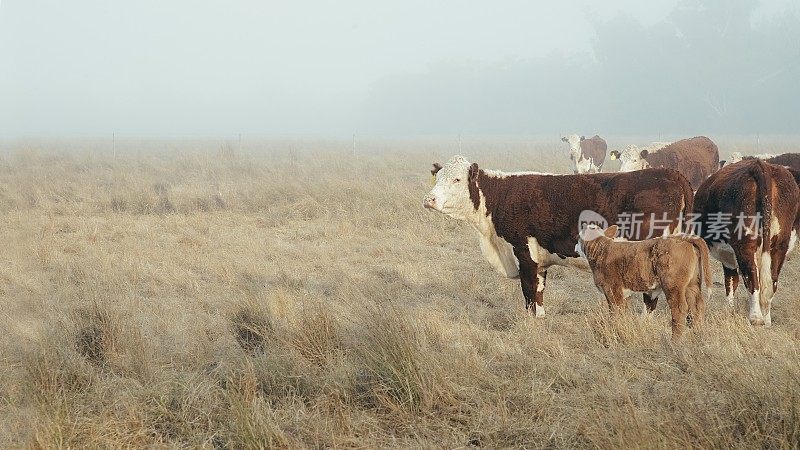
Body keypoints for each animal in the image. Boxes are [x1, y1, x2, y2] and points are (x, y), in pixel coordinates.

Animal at [422, 155, 692, 316]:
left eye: (457, 179)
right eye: (438, 177)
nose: (429, 199)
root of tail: (671, 173)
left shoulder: (524, 253)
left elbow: (529, 293)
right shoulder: (539, 260)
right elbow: (539, 292)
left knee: (652, 295)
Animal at [576, 223, 712, 340]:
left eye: (578, 237)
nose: (576, 248)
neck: (602, 250)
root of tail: (682, 237)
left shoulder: (613, 290)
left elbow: (615, 312)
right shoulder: (625, 293)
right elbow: (623, 312)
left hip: (673, 286)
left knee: (679, 308)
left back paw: (675, 341)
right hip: (692, 285)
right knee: (697, 306)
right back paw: (697, 335)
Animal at [692, 160, 796, 326]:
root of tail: (760, 166)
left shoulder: (728, 256)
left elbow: (730, 281)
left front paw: (729, 311)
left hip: (745, 244)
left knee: (752, 279)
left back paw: (756, 318)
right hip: (780, 244)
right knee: (771, 280)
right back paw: (767, 320)